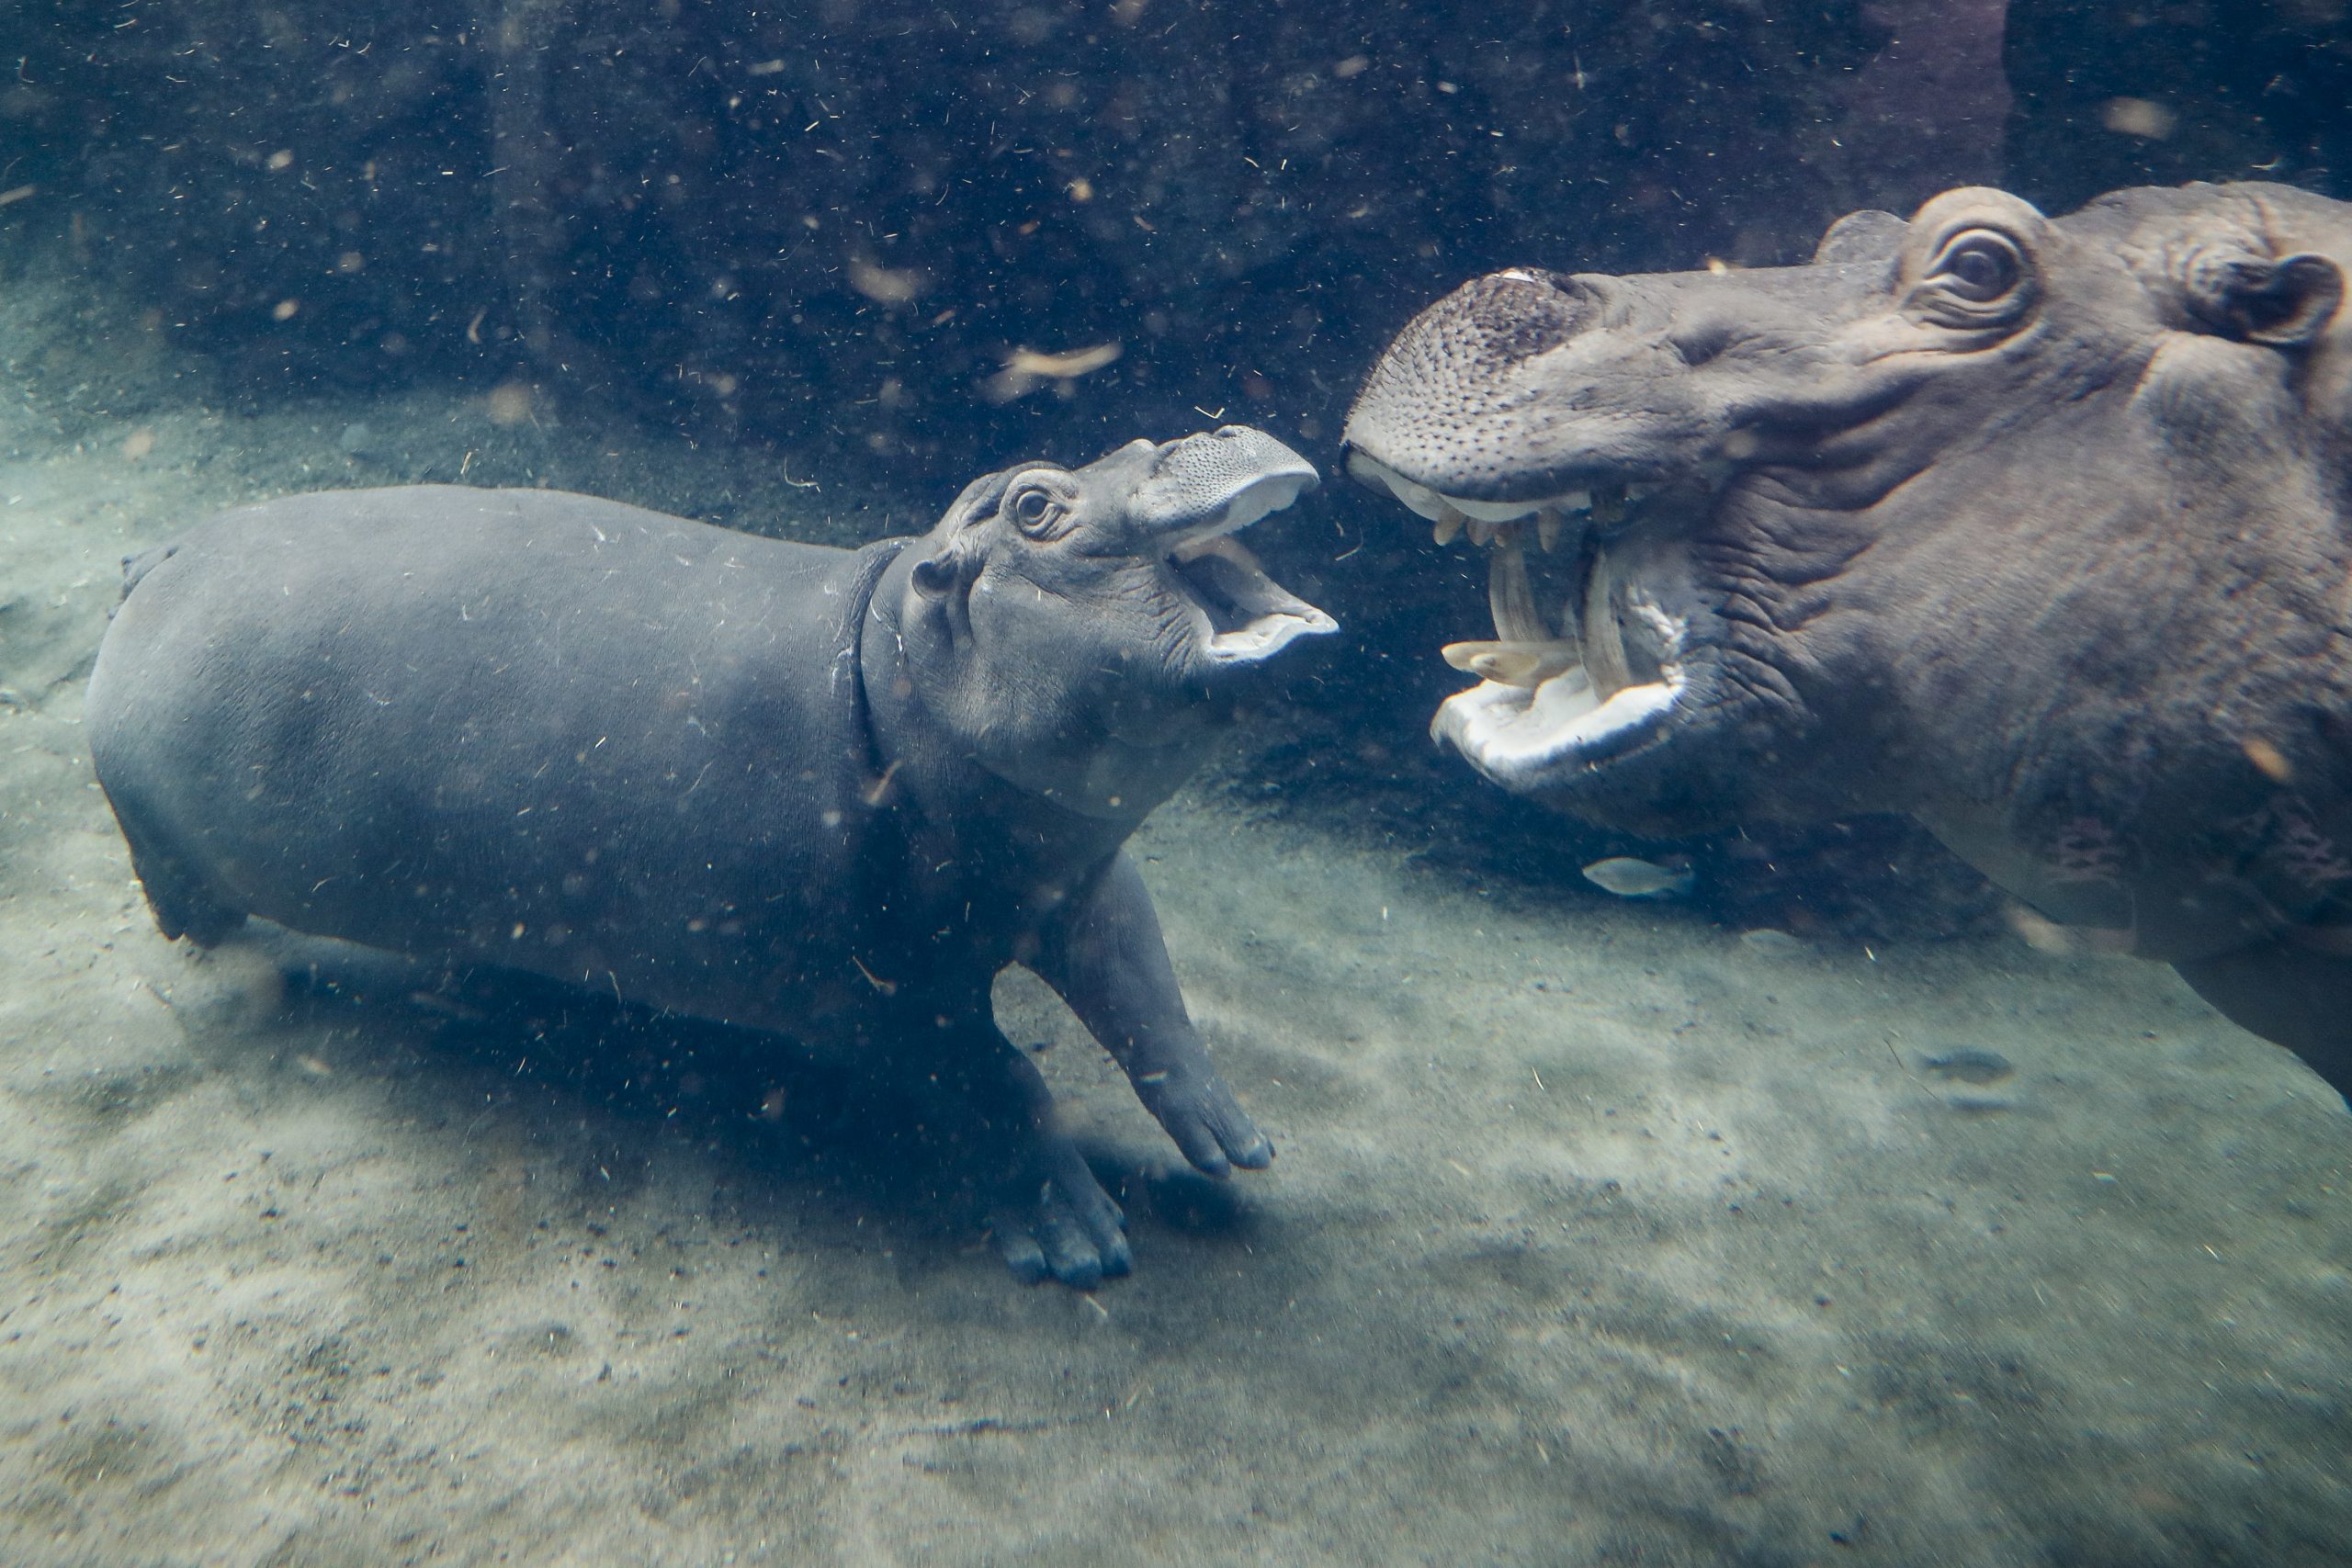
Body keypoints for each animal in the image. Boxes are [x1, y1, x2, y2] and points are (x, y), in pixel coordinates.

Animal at [85, 427, 1336, 1286]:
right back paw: (221, 950)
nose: (1191, 434)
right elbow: (997, 1077)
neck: (895, 657)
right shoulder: (881, 995)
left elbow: (1146, 991)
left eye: (1118, 445)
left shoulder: (1083, 870)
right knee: (174, 890)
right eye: (1034, 503)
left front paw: (1236, 1146)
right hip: (151, 819)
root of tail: (159, 551)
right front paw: (1079, 1245)